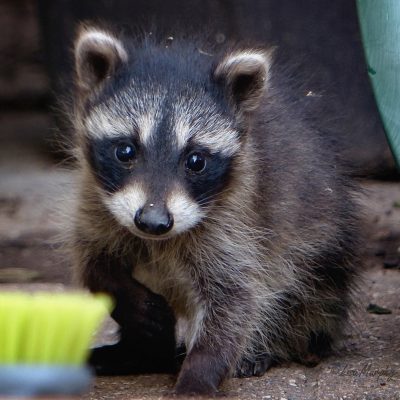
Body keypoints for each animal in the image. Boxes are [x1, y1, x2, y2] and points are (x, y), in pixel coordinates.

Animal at [65, 25, 360, 396]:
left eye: (196, 160)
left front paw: (199, 373)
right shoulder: (96, 200)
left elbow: (235, 299)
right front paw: (129, 298)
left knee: (294, 294)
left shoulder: (237, 220)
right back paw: (141, 351)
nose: (153, 222)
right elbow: (94, 264)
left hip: (322, 264)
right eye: (126, 151)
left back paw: (266, 347)